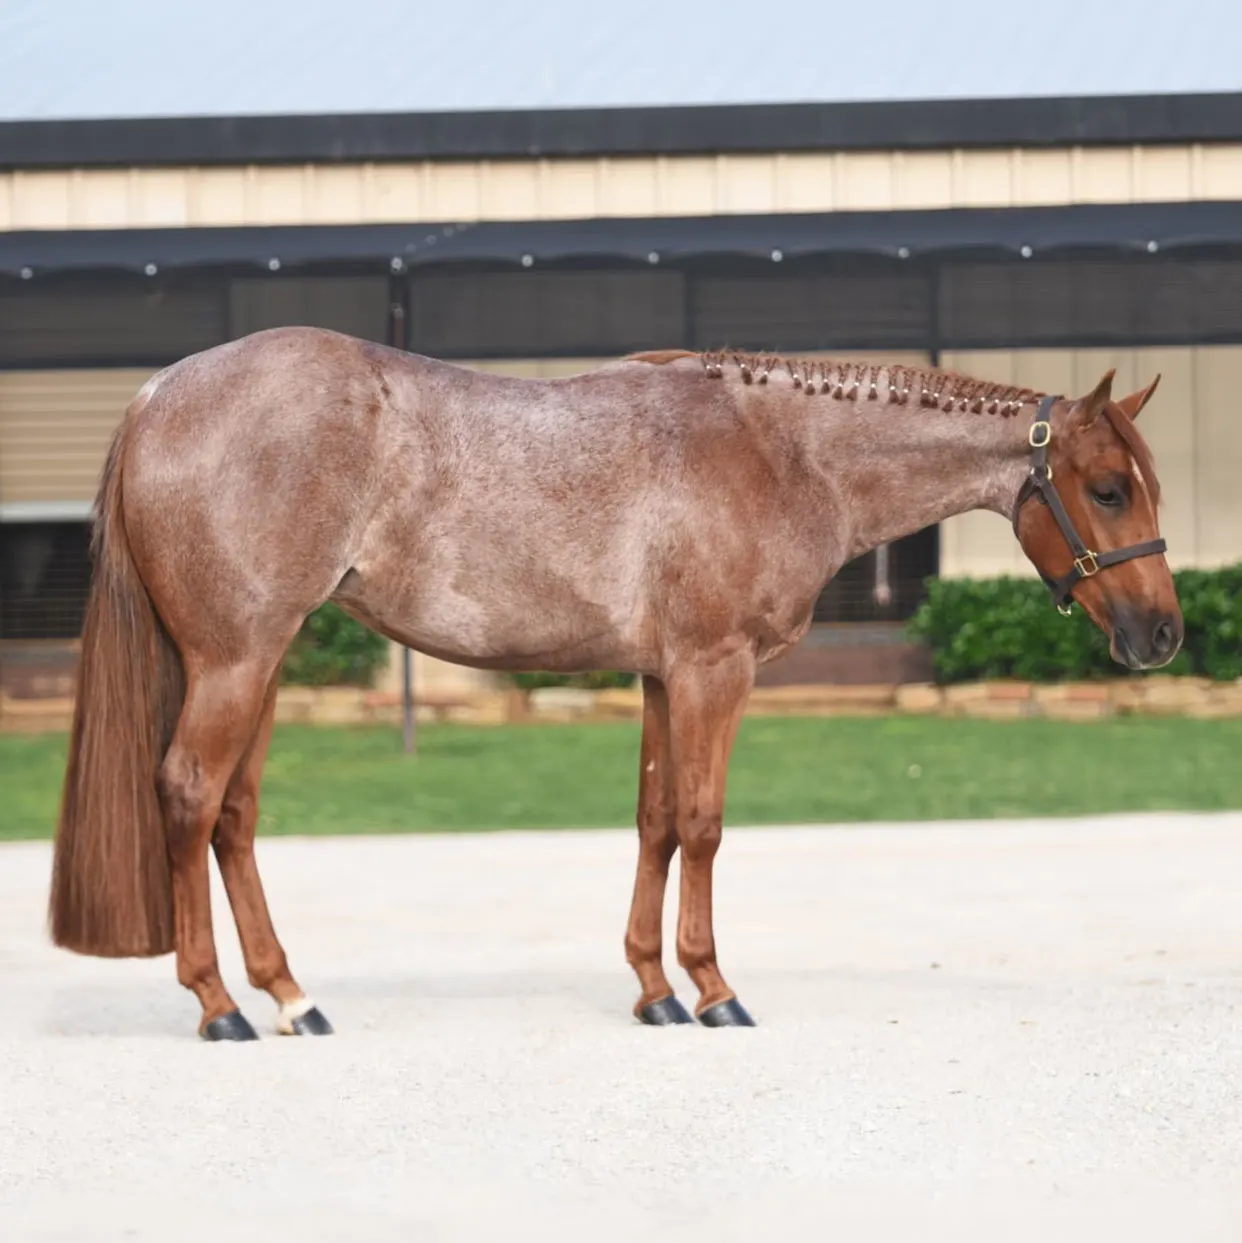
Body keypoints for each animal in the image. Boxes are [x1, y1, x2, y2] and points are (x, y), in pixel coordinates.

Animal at [47, 327, 1182, 1040]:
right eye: (1106, 488)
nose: (1164, 634)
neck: (778, 450)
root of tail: (157, 395)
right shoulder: (714, 669)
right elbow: (706, 822)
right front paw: (715, 989)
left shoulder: (661, 675)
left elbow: (655, 822)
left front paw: (652, 990)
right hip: (236, 661)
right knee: (190, 795)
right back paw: (219, 1006)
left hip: (262, 662)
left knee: (234, 815)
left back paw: (290, 995)